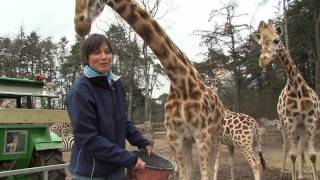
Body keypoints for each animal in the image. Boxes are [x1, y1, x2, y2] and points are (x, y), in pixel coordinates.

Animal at [75, 0, 225, 179]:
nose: (79, 25)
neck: (181, 83)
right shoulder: (175, 137)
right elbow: (184, 174)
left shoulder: (202, 135)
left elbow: (205, 173)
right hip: (190, 141)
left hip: (216, 134)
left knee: (214, 164)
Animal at [252, 19, 320, 179]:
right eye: (260, 44)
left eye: (276, 40)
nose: (263, 61)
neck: (296, 88)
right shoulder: (290, 122)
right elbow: (292, 154)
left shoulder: (311, 120)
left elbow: (312, 155)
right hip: (284, 125)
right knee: (286, 147)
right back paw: (284, 172)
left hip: (301, 127)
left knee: (300, 148)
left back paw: (301, 175)